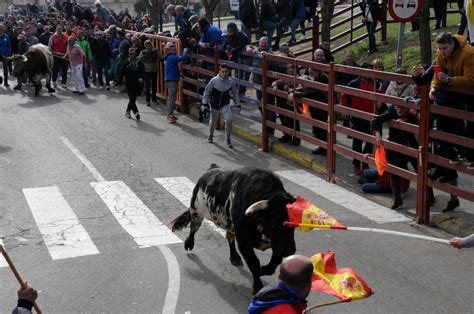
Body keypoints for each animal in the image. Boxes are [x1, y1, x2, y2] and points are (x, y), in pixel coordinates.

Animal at [170, 166, 296, 294]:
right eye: (274, 223)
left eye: (293, 224)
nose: (290, 250)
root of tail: (211, 169)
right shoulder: (244, 242)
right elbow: (254, 263)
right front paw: (258, 286)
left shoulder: (277, 243)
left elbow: (276, 260)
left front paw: (264, 270)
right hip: (197, 212)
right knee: (194, 228)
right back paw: (189, 244)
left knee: (229, 236)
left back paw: (234, 257)